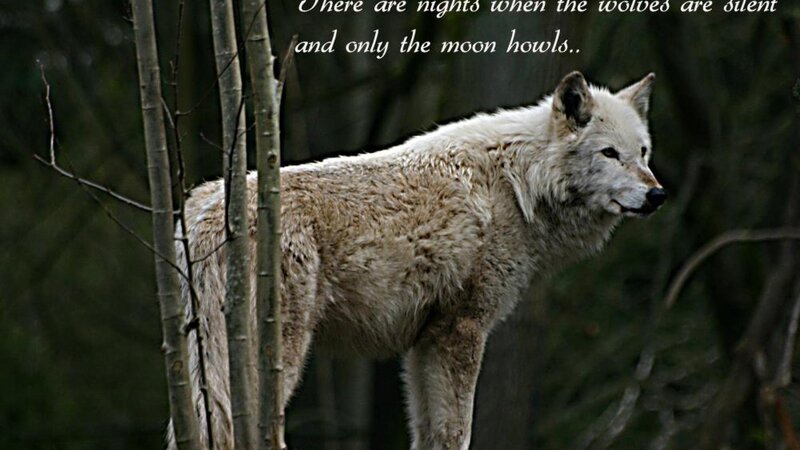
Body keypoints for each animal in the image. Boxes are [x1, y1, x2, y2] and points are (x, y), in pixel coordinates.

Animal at [168, 71, 665, 450]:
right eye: (609, 153)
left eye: (642, 152)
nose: (657, 195)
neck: (519, 184)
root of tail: (207, 213)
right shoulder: (463, 329)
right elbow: (456, 433)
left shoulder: (425, 340)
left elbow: (429, 434)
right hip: (278, 356)